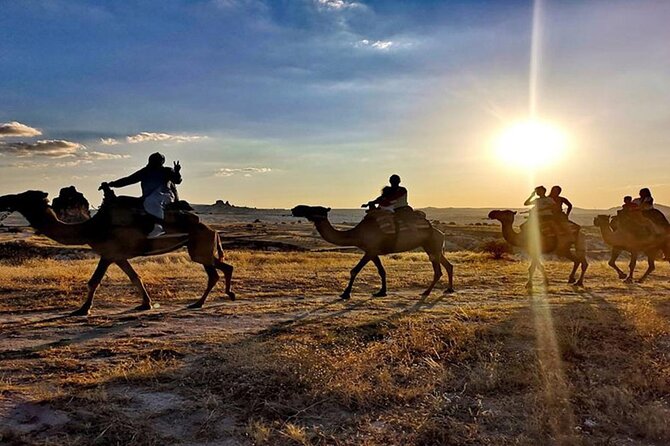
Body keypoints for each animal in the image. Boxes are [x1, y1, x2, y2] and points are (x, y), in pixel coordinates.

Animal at [0, 190, 236, 316]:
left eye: (24, 197)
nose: (5, 198)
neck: (90, 228)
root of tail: (213, 230)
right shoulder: (119, 257)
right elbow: (135, 277)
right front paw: (146, 304)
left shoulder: (108, 253)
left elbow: (94, 281)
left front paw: (83, 309)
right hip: (201, 248)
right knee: (223, 267)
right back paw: (223, 295)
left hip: (199, 247)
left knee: (214, 272)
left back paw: (200, 302)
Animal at [292, 206, 454, 300]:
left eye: (314, 208)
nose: (295, 208)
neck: (357, 234)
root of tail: (441, 233)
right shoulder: (373, 251)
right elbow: (382, 271)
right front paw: (381, 292)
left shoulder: (370, 250)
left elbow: (354, 270)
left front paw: (345, 293)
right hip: (433, 247)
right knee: (448, 265)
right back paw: (449, 289)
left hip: (432, 246)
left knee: (438, 270)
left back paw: (426, 292)